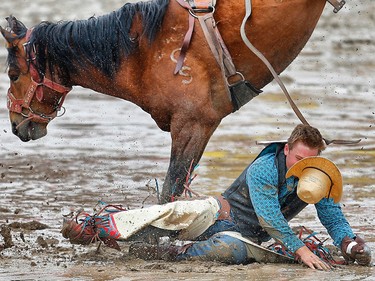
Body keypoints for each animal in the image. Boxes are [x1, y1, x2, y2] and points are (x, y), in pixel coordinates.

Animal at [0, 0, 334, 201]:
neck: (141, 51)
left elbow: (172, 185)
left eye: (13, 74)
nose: (16, 126)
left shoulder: (191, 123)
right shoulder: (203, 126)